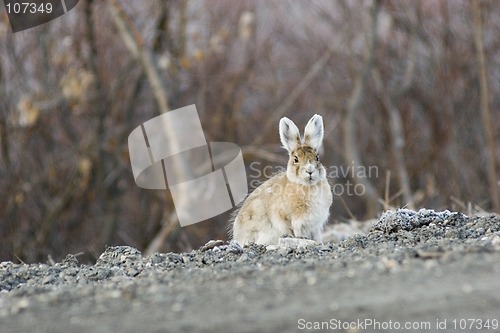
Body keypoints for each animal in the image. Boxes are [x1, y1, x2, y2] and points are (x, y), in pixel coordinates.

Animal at [230, 113, 332, 245]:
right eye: (296, 159)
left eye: (317, 157)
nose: (310, 170)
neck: (307, 185)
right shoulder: (291, 219)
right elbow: (295, 230)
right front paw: (302, 239)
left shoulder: (316, 224)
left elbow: (316, 235)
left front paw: (319, 243)